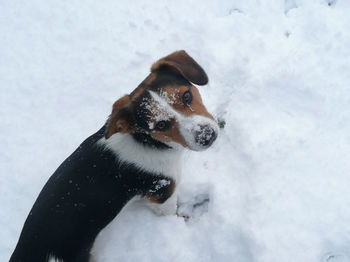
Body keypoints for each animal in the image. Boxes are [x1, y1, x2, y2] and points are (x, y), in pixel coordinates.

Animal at [10, 49, 219, 262]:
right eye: (161, 125)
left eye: (187, 95)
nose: (207, 136)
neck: (146, 141)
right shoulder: (163, 195)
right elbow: (172, 213)